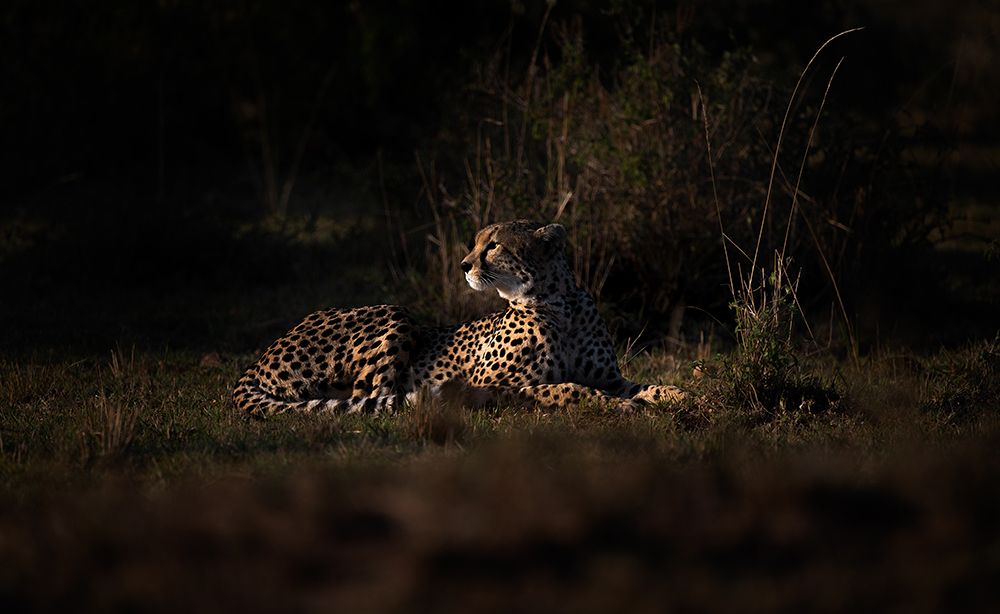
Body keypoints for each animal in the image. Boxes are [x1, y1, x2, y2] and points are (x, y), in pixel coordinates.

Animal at [232, 220, 683, 416]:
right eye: (477, 242)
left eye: (494, 245)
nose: (464, 265)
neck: (559, 304)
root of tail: (259, 358)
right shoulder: (496, 384)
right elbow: (566, 387)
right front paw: (617, 406)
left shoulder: (610, 375)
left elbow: (643, 384)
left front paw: (678, 395)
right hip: (393, 312)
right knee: (371, 397)